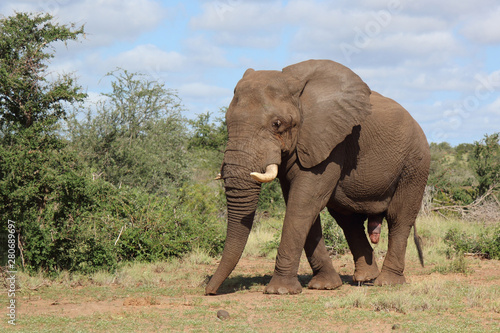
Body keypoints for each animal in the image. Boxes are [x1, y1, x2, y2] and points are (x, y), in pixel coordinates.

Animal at [204, 59, 430, 294]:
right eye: (227, 122)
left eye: (277, 124)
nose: (209, 291)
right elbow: (300, 203)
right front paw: (324, 286)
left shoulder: (332, 143)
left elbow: (304, 202)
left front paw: (279, 291)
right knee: (348, 219)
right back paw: (365, 278)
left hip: (415, 164)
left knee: (398, 217)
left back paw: (387, 282)